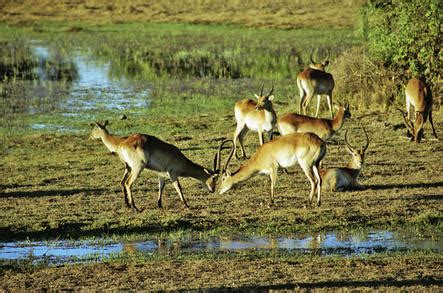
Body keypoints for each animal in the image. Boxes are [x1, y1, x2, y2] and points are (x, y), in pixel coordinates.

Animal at [88, 121, 227, 210]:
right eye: (214, 178)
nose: (212, 190)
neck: (181, 159)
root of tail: (123, 144)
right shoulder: (173, 174)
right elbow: (178, 187)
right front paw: (186, 205)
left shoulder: (161, 174)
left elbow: (161, 187)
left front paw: (159, 204)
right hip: (137, 168)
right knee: (128, 183)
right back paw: (135, 207)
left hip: (129, 168)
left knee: (123, 182)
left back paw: (128, 205)